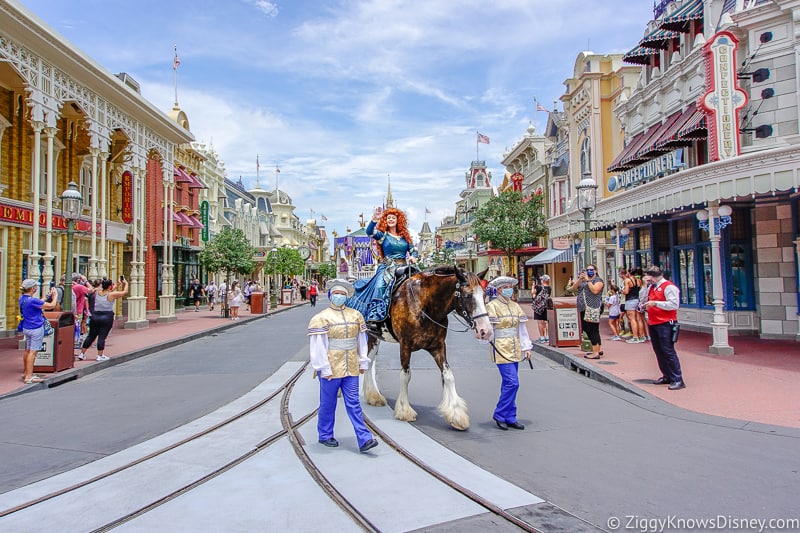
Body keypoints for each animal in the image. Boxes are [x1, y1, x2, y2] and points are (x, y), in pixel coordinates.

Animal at [364, 264, 494, 430]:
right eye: (467, 296)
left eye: (484, 295)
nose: (486, 330)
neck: (424, 305)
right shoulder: (405, 345)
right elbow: (405, 376)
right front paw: (404, 410)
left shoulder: (438, 346)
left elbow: (448, 375)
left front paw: (456, 415)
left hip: (374, 336)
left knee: (368, 360)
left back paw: (373, 396)